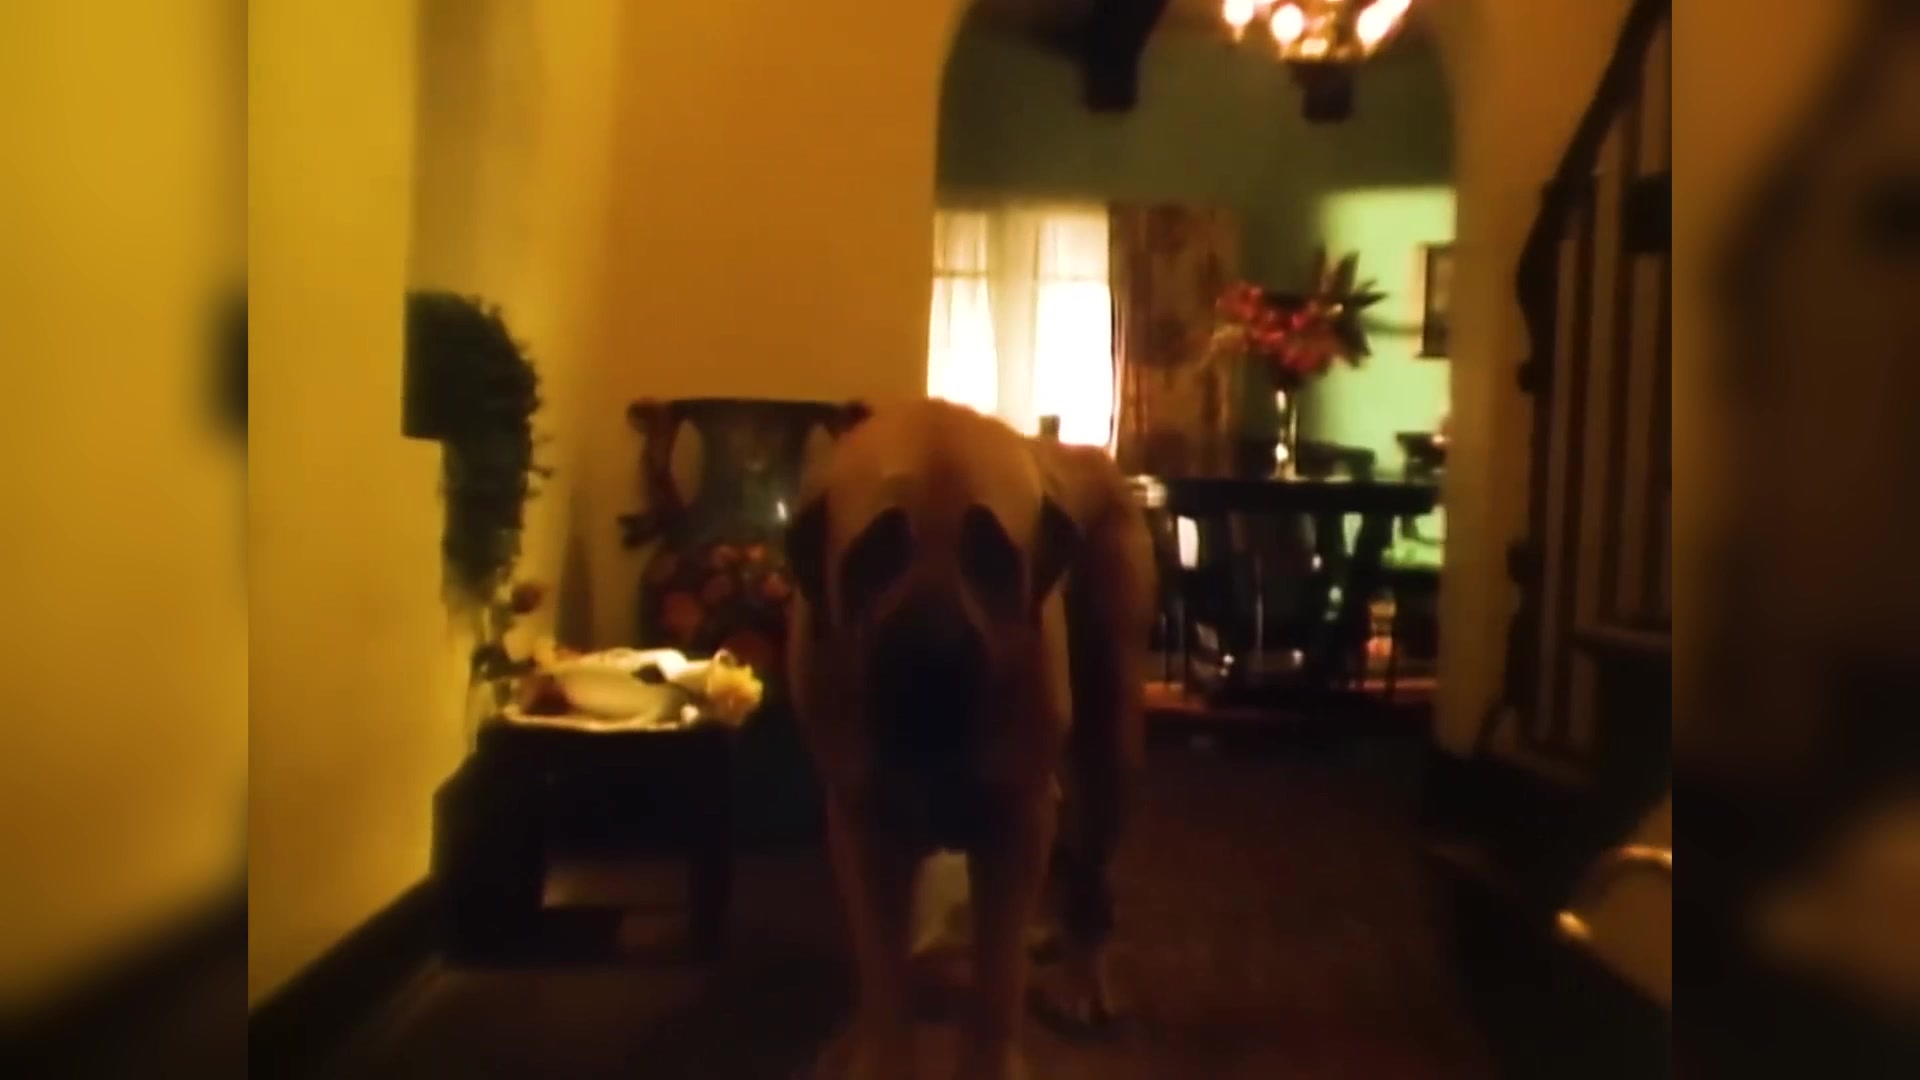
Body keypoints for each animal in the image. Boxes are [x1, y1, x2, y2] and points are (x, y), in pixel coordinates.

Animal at [785, 399, 1155, 1080]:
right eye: (877, 553)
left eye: (992, 556)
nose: (934, 659)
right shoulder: (864, 827)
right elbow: (884, 970)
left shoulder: (1012, 823)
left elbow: (995, 979)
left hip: (1111, 743)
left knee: (1091, 874)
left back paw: (1080, 976)